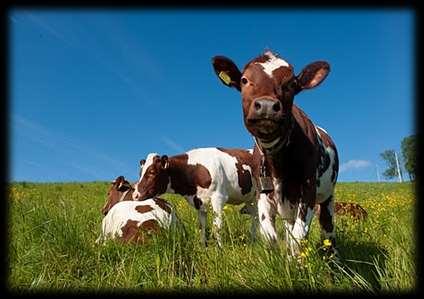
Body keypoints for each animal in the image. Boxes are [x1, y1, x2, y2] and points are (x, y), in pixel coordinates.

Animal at [214, 49, 340, 258]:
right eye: (244, 80)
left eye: (291, 84)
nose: (266, 105)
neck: (278, 163)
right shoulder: (262, 193)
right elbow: (270, 236)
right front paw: (281, 259)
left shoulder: (308, 190)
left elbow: (299, 237)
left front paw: (296, 262)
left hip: (327, 196)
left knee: (327, 228)